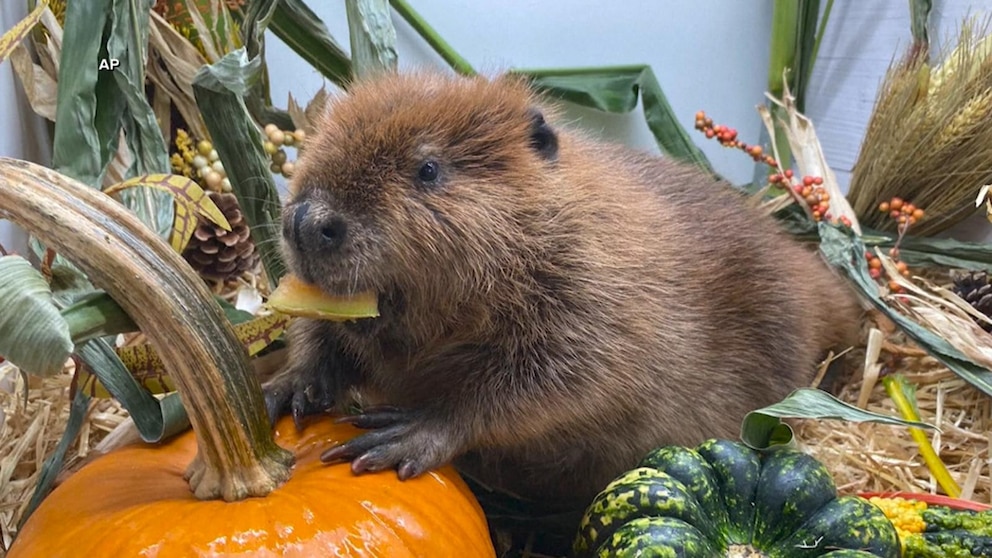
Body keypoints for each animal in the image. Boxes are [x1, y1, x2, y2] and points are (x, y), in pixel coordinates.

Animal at [262, 71, 860, 516]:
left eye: (428, 168)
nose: (308, 221)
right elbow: (317, 331)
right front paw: (283, 389)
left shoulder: (601, 299)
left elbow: (553, 384)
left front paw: (403, 433)